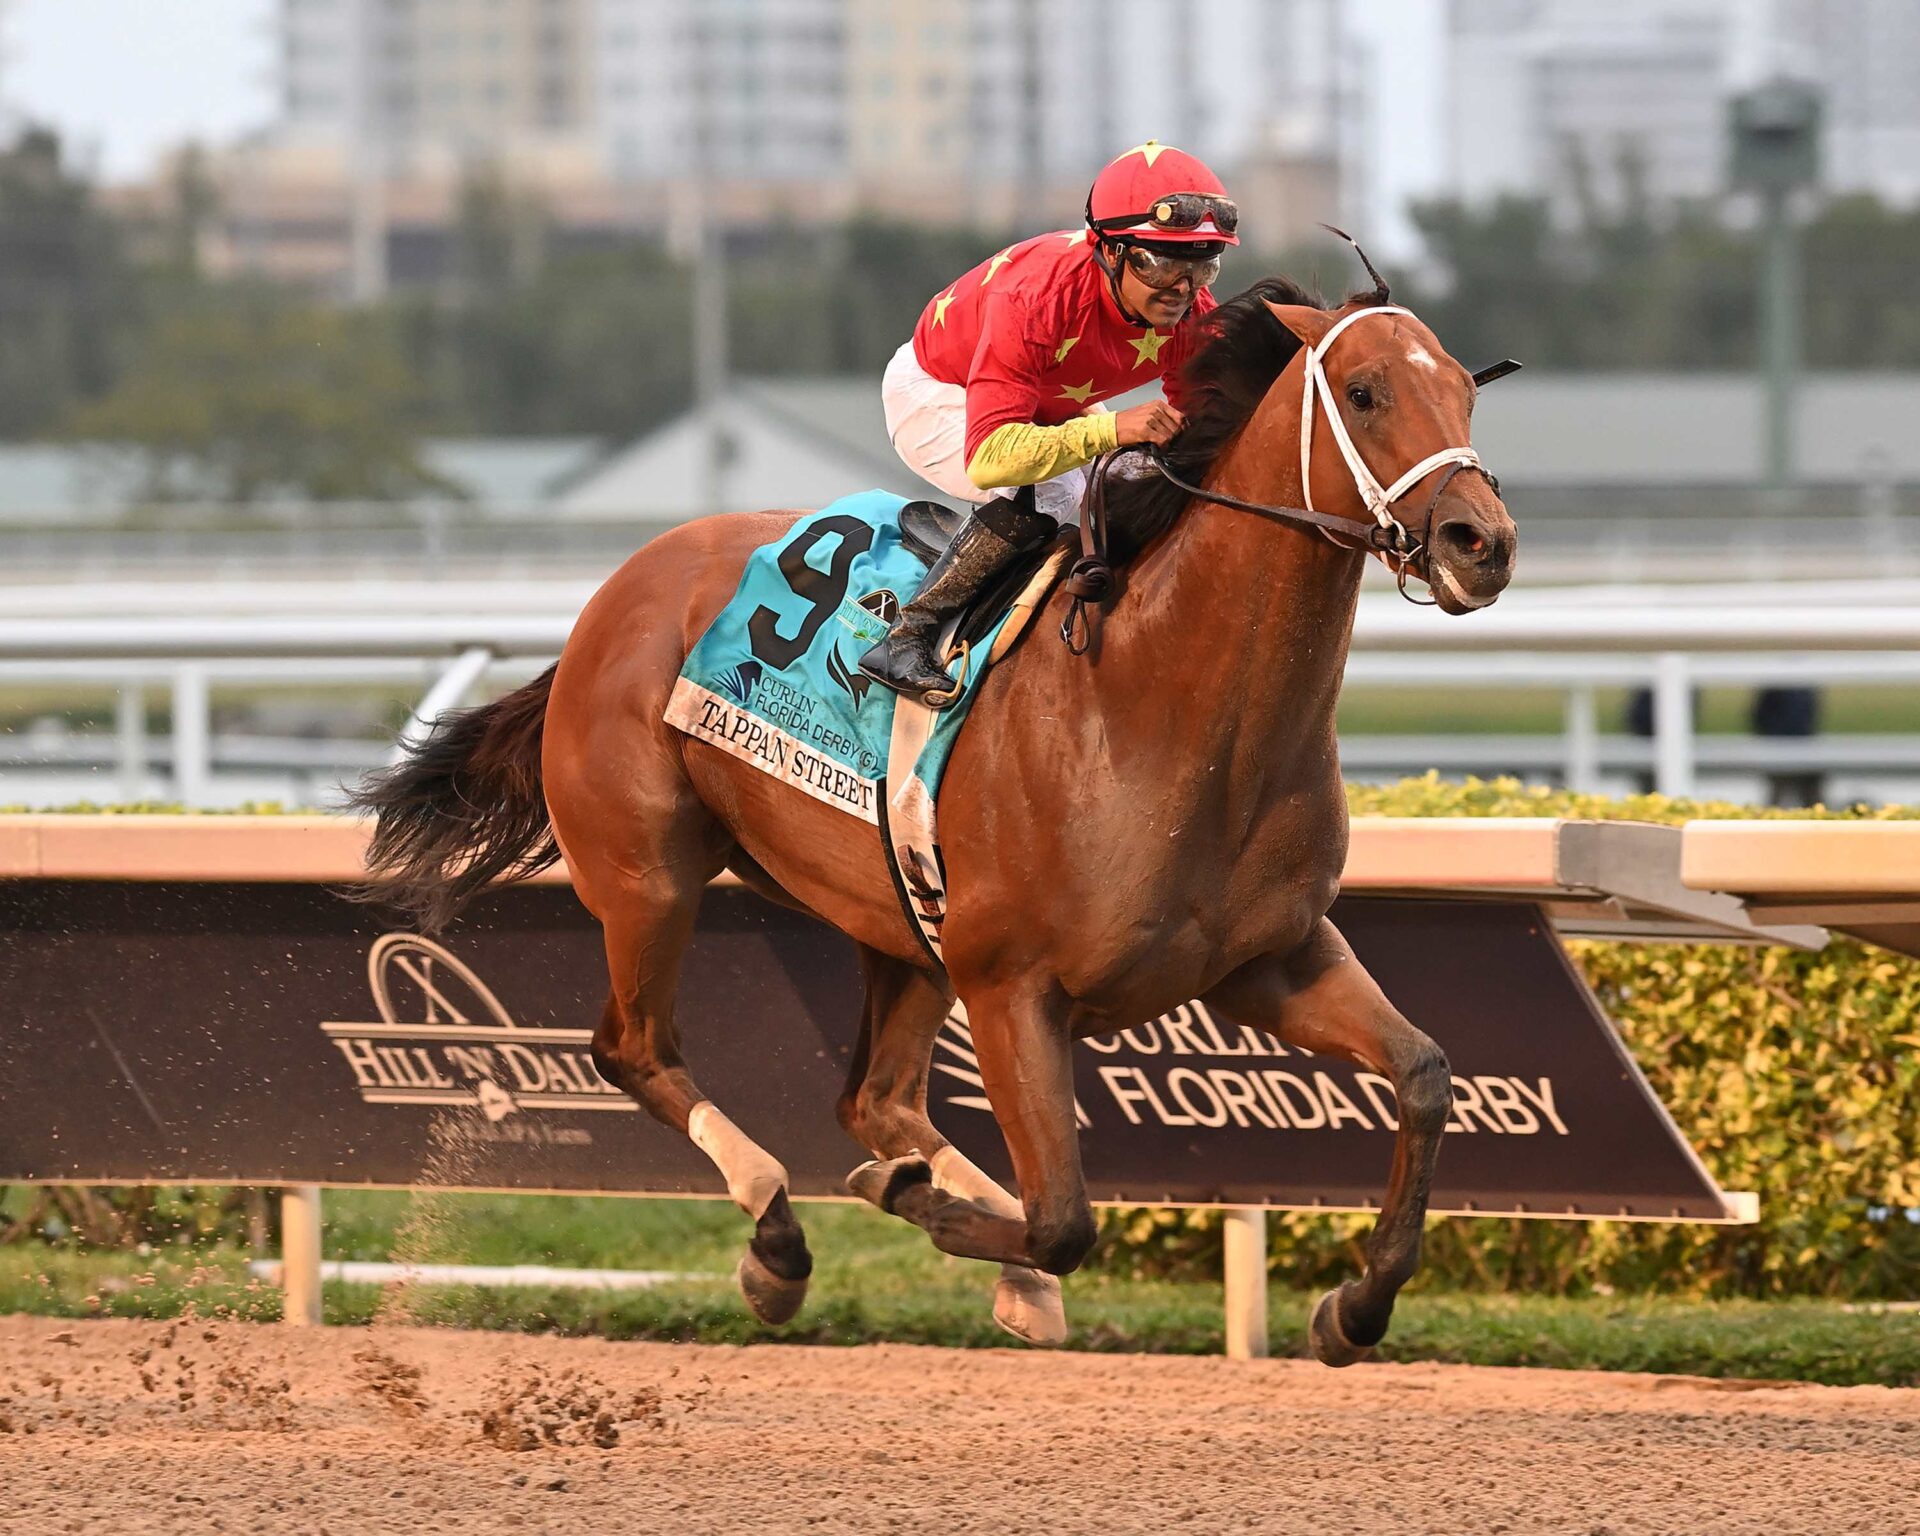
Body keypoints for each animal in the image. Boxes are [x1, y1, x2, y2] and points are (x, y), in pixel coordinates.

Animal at [352, 271, 1517, 1363]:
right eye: (1365, 392)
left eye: (1466, 390)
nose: (1483, 542)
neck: (1163, 704)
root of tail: (617, 592)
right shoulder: (1013, 988)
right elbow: (1063, 1218)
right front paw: (903, 1199)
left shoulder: (1267, 960)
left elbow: (1424, 1075)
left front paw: (1354, 1309)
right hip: (651, 877)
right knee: (635, 1050)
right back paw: (780, 1241)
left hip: (900, 919)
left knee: (874, 1100)